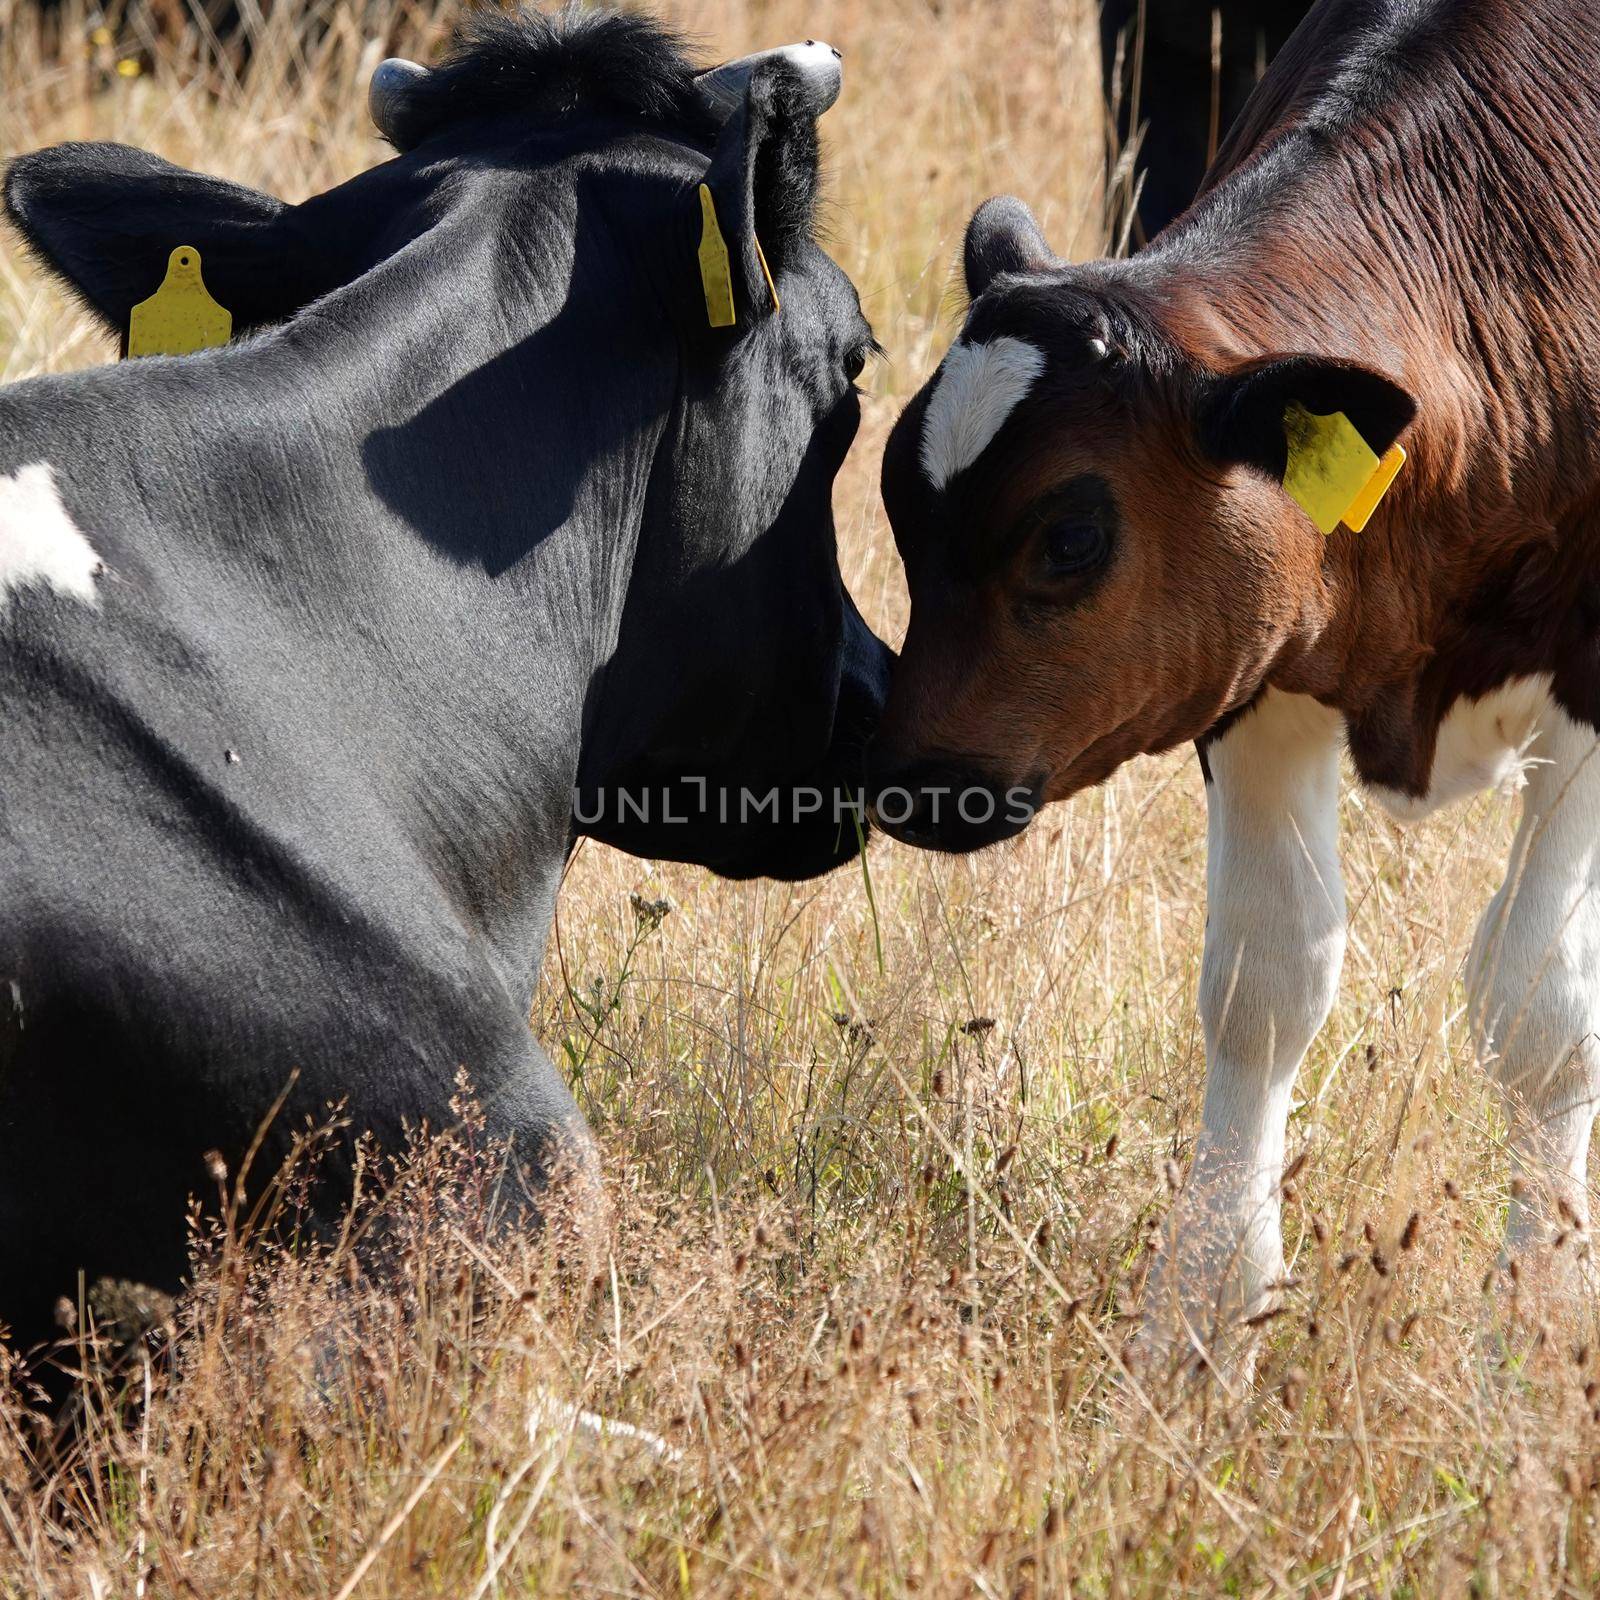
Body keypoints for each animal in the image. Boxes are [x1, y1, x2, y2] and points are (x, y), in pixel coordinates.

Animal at [876, 0, 1600, 1363]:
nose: (914, 781)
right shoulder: (1261, 671)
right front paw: (1201, 1313)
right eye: (896, 502)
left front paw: (1534, 1314)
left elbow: (1541, 1007)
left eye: (1070, 535)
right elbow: (1264, 982)